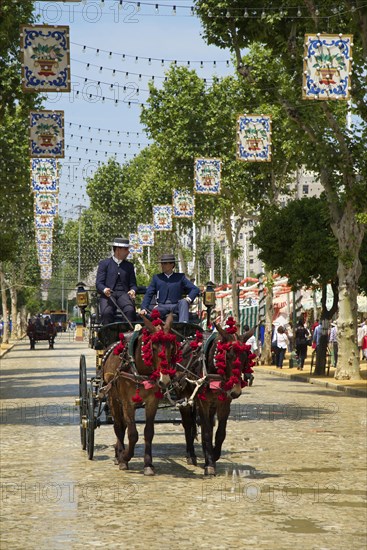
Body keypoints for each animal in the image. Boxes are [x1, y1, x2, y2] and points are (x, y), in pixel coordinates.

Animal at [102, 312, 181, 476]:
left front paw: (148, 464)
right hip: (113, 398)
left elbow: (148, 432)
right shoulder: (128, 403)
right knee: (118, 426)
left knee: (122, 426)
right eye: (153, 347)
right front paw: (125, 457)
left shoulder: (152, 402)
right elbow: (132, 433)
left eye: (172, 347)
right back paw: (119, 455)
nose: (164, 380)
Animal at [177, 322, 254, 476]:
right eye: (227, 355)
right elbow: (206, 432)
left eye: (246, 357)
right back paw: (191, 455)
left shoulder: (224, 402)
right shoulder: (203, 403)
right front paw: (209, 464)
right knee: (188, 424)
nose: (235, 391)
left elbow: (220, 433)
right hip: (185, 398)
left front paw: (214, 454)